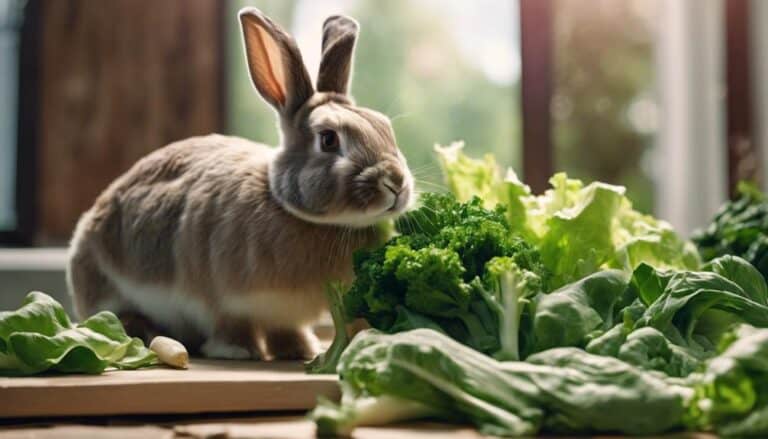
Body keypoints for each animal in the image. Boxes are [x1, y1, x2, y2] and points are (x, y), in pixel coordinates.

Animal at [66, 7, 413, 360]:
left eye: (385, 127)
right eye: (328, 139)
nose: (396, 184)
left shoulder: (285, 314)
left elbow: (287, 330)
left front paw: (300, 350)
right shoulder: (220, 300)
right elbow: (229, 324)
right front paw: (237, 351)